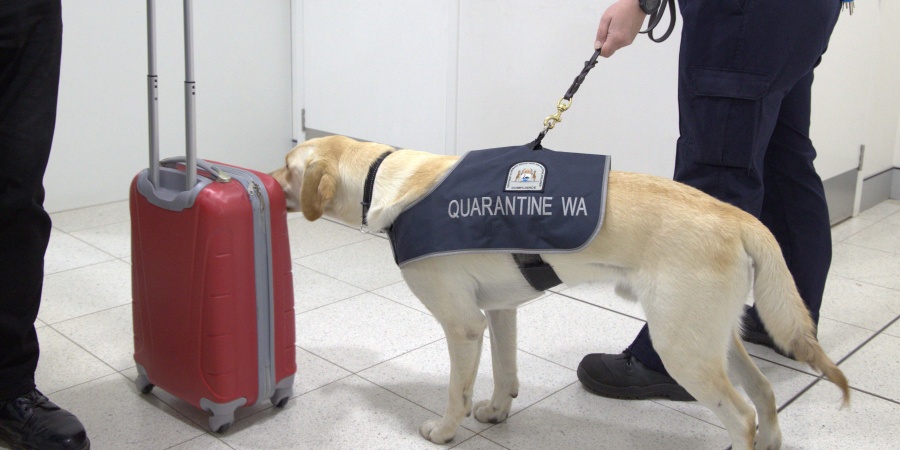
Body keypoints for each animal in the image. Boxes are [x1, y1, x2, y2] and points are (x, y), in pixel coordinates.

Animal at [270, 135, 848, 450]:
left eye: (289, 165)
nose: (267, 176)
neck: (379, 175)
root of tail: (738, 216)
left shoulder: (463, 325)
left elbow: (457, 391)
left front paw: (445, 430)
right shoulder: (499, 311)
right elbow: (505, 374)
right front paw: (497, 413)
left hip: (679, 345)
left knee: (742, 414)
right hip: (713, 336)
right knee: (765, 394)